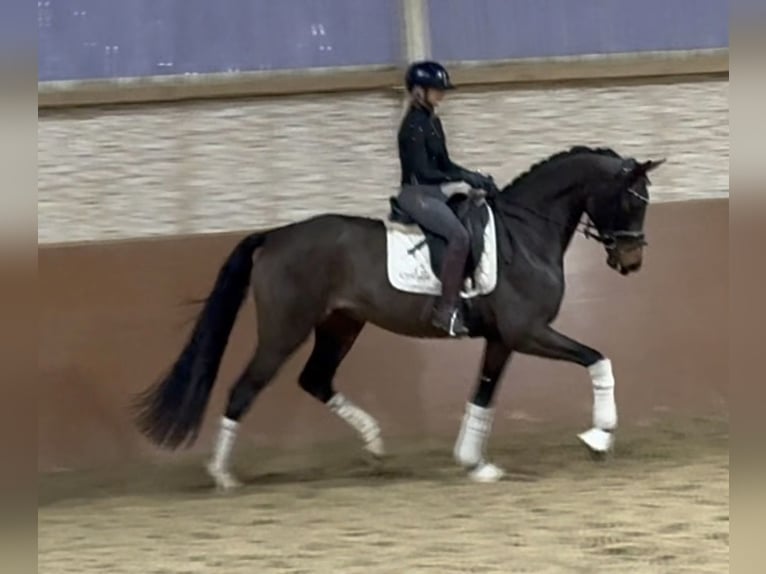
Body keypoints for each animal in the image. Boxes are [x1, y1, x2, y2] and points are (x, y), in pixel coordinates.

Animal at [133, 146, 665, 490]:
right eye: (631, 199)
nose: (632, 261)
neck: (527, 233)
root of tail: (275, 236)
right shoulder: (528, 332)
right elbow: (598, 359)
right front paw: (599, 436)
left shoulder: (502, 339)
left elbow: (483, 396)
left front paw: (475, 464)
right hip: (285, 330)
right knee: (244, 389)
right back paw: (223, 475)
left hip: (341, 325)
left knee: (315, 379)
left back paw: (374, 447)